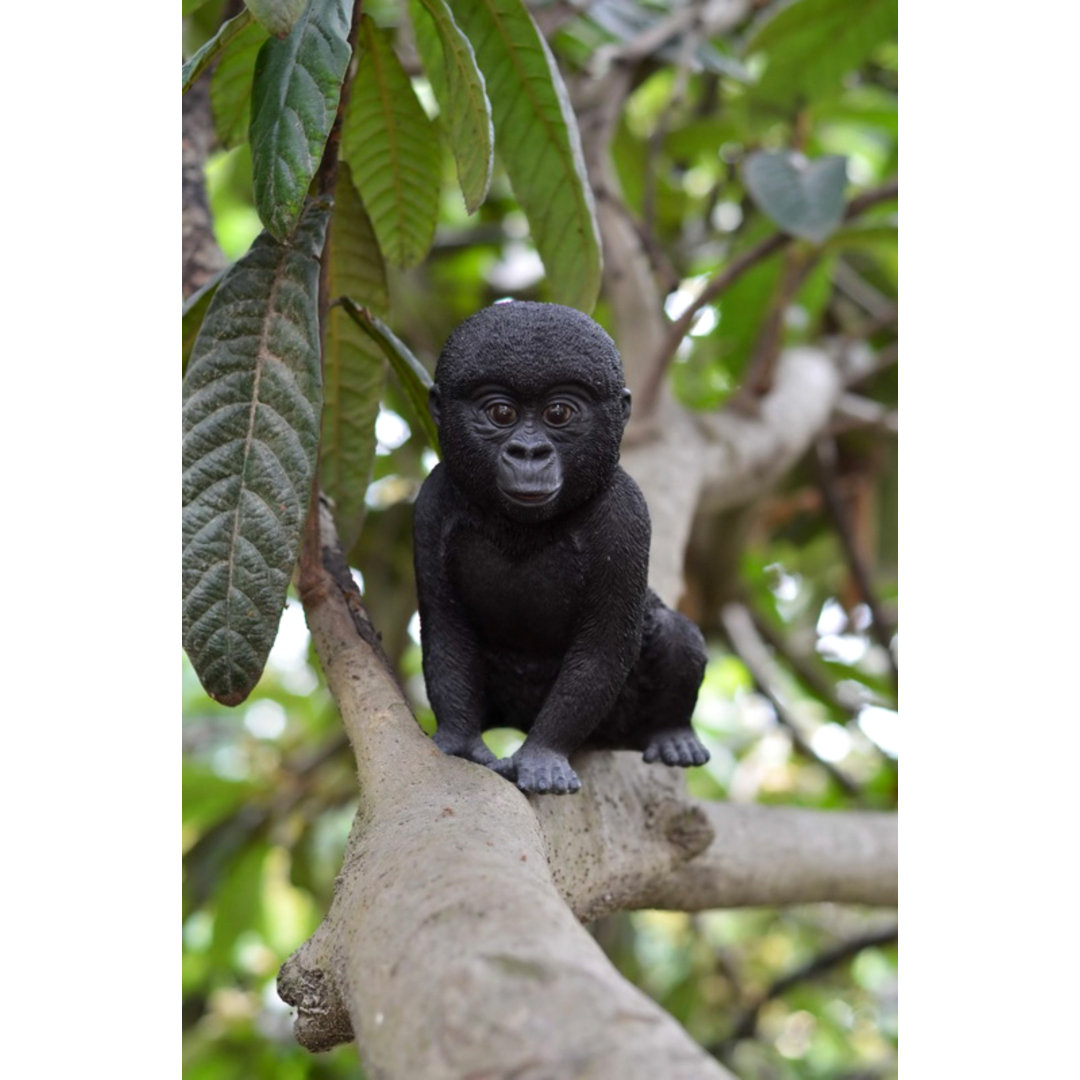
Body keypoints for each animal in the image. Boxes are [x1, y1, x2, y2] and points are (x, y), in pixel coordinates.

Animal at [412, 300, 709, 794]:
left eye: (558, 413)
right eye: (500, 412)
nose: (529, 452)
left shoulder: (624, 513)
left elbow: (604, 647)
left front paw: (542, 756)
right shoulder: (432, 501)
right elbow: (445, 627)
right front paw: (460, 742)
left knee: (675, 633)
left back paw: (673, 734)